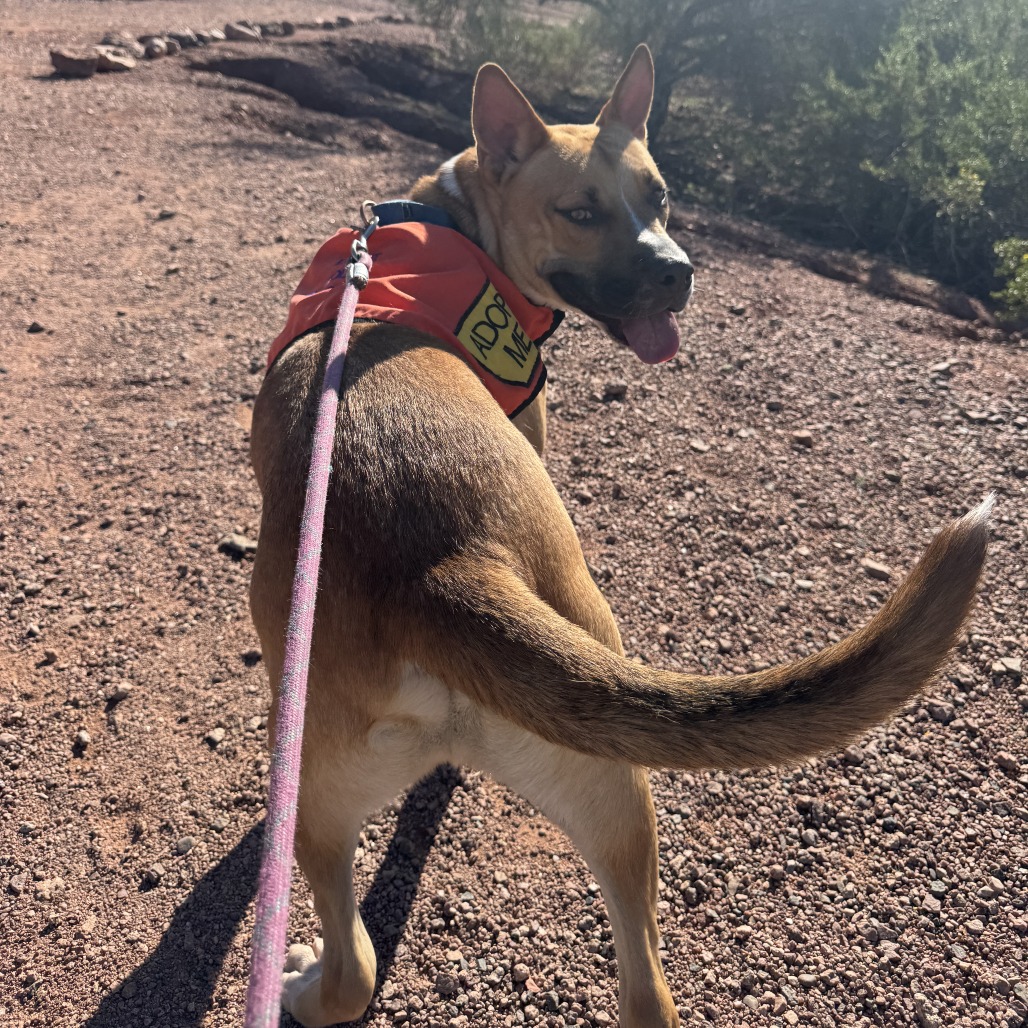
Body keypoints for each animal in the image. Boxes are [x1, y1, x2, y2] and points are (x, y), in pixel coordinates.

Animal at [249, 45, 990, 1028]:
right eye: (581, 210)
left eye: (661, 196)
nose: (677, 271)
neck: (457, 216)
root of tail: (440, 567)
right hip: (598, 789)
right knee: (634, 994)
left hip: (346, 800)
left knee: (357, 969)